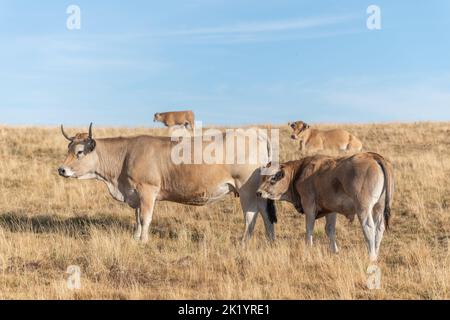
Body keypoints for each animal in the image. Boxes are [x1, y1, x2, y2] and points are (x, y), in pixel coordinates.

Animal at [58, 122, 276, 242]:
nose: (61, 169)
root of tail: (255, 132)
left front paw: (143, 240)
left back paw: (243, 243)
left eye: (79, 152)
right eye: (68, 149)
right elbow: (137, 218)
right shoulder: (136, 193)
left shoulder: (147, 190)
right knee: (266, 215)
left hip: (247, 189)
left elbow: (145, 218)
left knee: (251, 216)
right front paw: (136, 237)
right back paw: (270, 241)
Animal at [256, 152, 394, 262]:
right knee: (379, 228)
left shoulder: (309, 204)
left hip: (363, 209)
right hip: (378, 208)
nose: (258, 193)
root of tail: (372, 156)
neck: (300, 171)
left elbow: (309, 228)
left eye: (273, 178)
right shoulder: (331, 210)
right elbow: (330, 229)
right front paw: (334, 250)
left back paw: (371, 256)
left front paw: (308, 247)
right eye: (263, 177)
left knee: (369, 228)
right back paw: (376, 253)